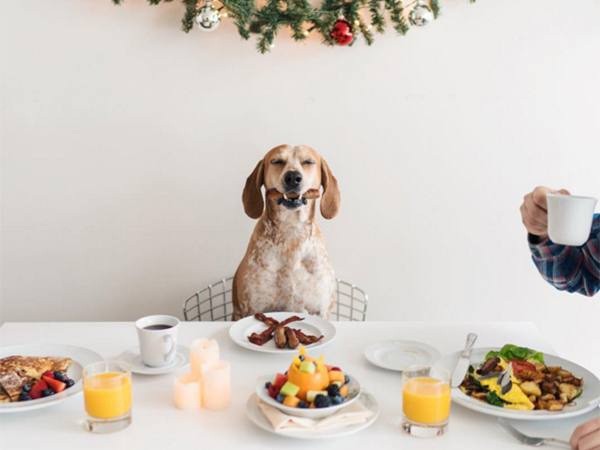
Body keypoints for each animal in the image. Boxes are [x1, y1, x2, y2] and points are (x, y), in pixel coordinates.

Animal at [232, 144, 340, 320]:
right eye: (277, 161)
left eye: (308, 161)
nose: (293, 177)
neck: (291, 232)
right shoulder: (252, 308)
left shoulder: (320, 310)